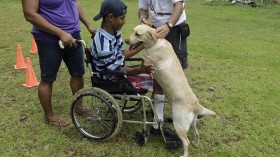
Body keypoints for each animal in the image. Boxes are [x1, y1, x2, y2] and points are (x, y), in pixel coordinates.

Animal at [125, 24, 217, 157]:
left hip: (179, 124)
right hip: (192, 123)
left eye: (137, 34)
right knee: (196, 133)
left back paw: (184, 154)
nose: (126, 40)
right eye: (132, 31)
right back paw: (195, 143)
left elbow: (143, 60)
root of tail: (196, 105)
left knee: (186, 143)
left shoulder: (147, 61)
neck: (155, 43)